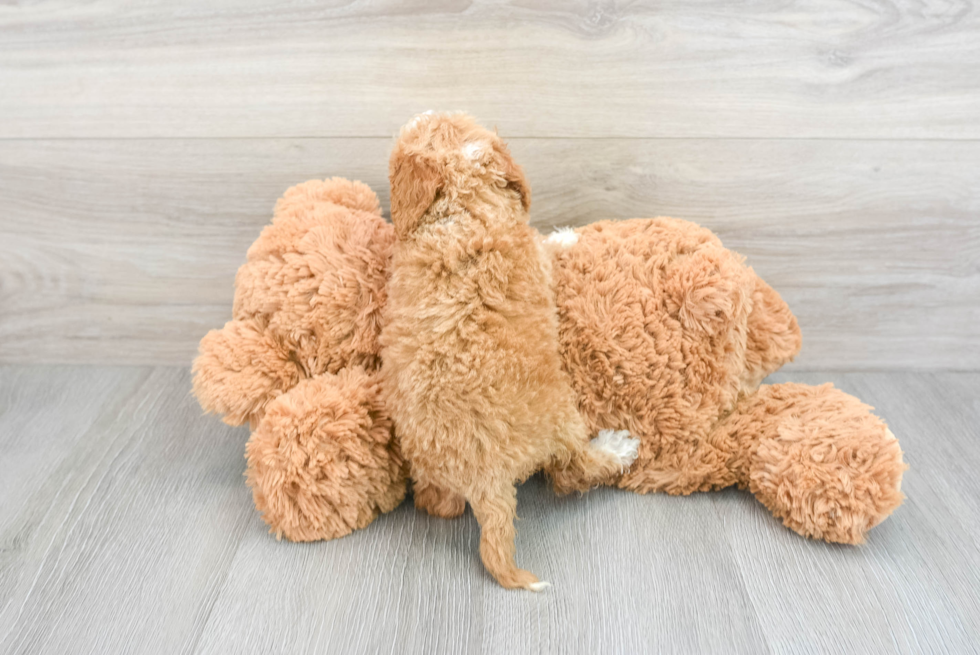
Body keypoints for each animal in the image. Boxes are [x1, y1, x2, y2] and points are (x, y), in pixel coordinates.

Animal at [378, 113, 640, 588]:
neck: (459, 206)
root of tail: (485, 479)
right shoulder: (535, 257)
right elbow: (548, 247)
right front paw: (568, 236)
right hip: (562, 420)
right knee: (575, 470)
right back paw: (618, 448)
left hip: (426, 465)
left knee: (439, 505)